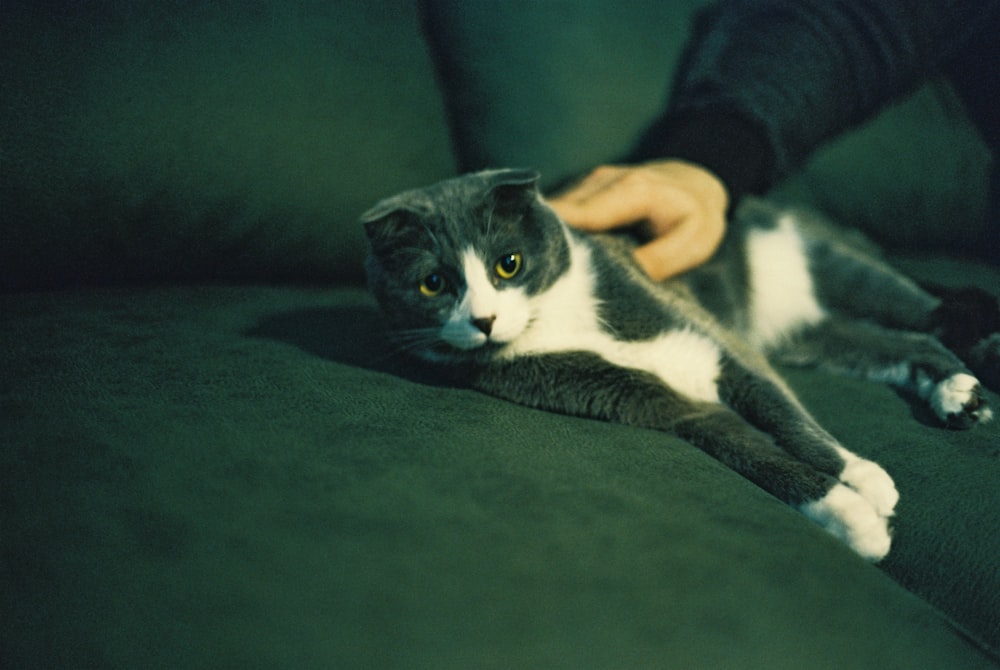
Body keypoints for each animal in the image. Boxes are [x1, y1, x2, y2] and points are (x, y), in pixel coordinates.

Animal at [362, 168, 1000, 560]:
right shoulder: (660, 404)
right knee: (897, 342)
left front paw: (863, 477)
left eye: (508, 264)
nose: (485, 320)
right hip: (812, 334)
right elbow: (753, 452)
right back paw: (953, 393)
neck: (560, 322)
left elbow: (785, 413)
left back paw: (963, 388)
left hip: (826, 264)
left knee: (929, 313)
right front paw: (853, 517)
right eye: (433, 283)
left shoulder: (709, 336)